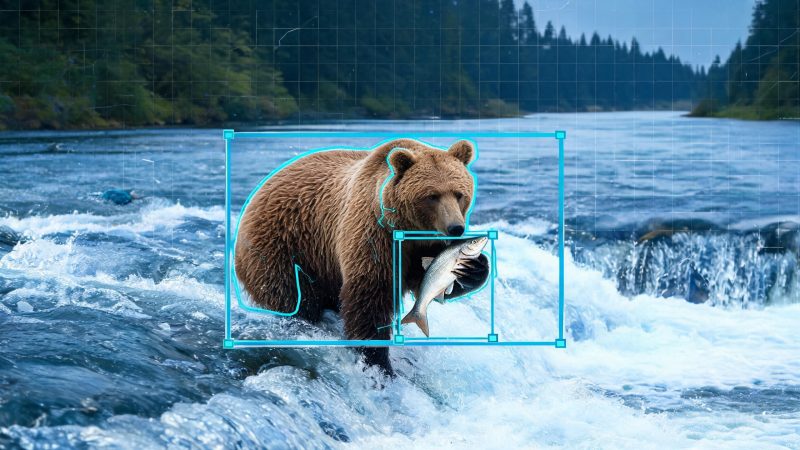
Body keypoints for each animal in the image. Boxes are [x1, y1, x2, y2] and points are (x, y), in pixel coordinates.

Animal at [234, 138, 488, 374]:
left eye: (459, 194)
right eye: (432, 196)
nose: (456, 228)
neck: (408, 227)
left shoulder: (423, 246)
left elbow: (427, 280)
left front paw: (474, 268)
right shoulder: (374, 234)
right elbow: (370, 294)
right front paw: (378, 361)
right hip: (281, 246)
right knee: (291, 297)